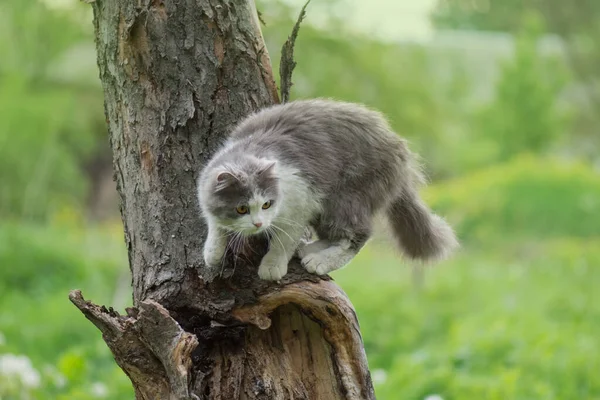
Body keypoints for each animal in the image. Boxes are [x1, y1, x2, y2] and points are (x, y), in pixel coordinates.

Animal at [198, 99, 460, 282]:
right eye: (242, 208)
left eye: (266, 204)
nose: (258, 224)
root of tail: (398, 148)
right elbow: (214, 224)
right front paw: (212, 252)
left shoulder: (300, 203)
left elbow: (283, 241)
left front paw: (272, 267)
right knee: (334, 236)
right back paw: (309, 248)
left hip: (345, 199)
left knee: (358, 236)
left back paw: (318, 261)